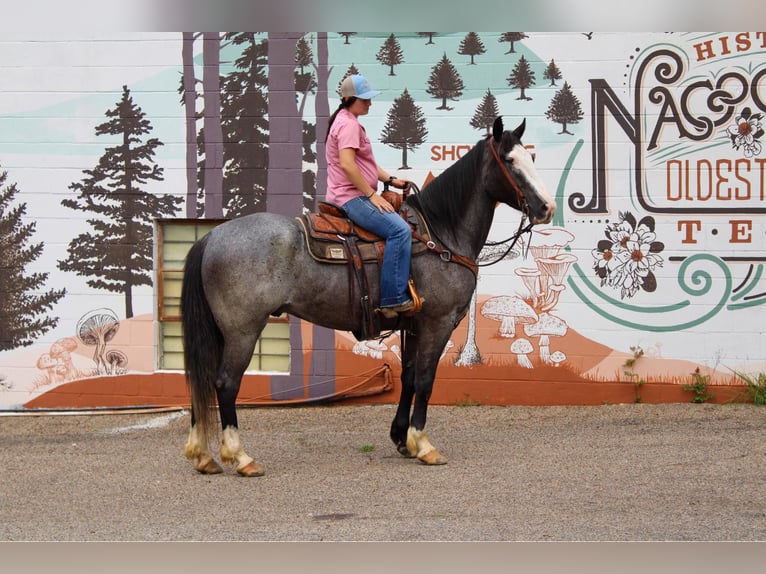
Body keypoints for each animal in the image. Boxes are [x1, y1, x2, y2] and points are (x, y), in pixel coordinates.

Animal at [184, 117, 560, 476]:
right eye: (510, 161)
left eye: (530, 157)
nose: (547, 208)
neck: (441, 234)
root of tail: (213, 236)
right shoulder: (438, 322)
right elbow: (425, 380)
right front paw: (424, 445)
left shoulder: (414, 324)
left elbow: (409, 376)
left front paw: (402, 439)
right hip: (242, 330)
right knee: (226, 383)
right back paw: (241, 457)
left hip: (222, 331)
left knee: (202, 379)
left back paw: (203, 456)